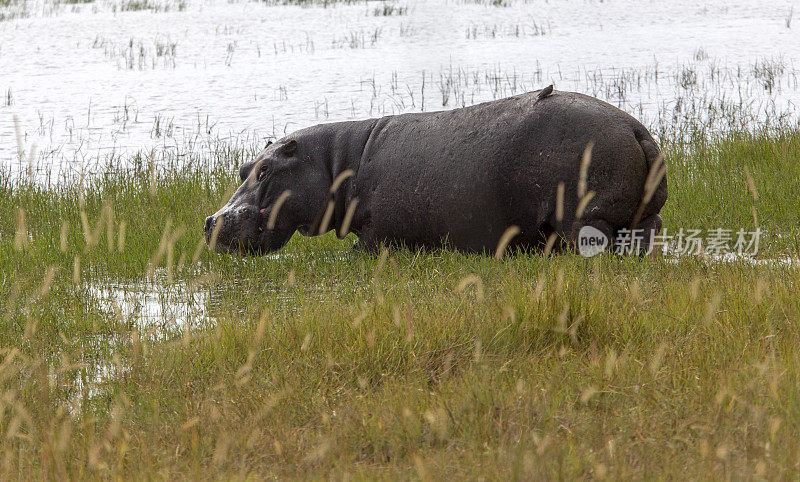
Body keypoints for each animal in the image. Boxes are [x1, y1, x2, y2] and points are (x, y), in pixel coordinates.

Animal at [203, 89, 664, 256]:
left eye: (266, 169)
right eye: (243, 167)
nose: (210, 221)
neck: (335, 162)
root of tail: (636, 128)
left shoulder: (374, 234)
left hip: (585, 215)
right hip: (640, 216)